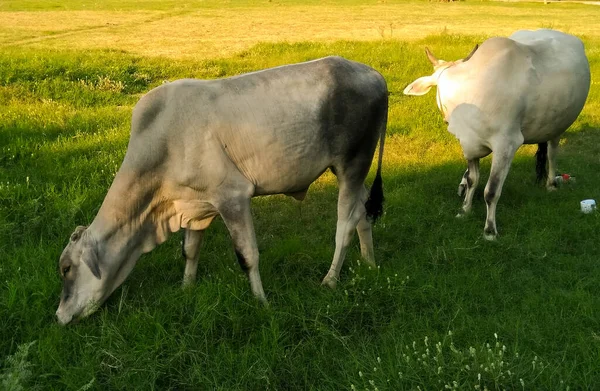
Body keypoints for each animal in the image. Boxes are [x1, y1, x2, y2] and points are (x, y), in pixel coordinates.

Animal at [404, 29, 592, 240]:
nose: (447, 121)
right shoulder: (469, 144)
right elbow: (472, 179)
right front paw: (465, 209)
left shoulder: (506, 144)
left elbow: (491, 191)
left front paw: (490, 230)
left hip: (558, 124)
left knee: (552, 154)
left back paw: (551, 184)